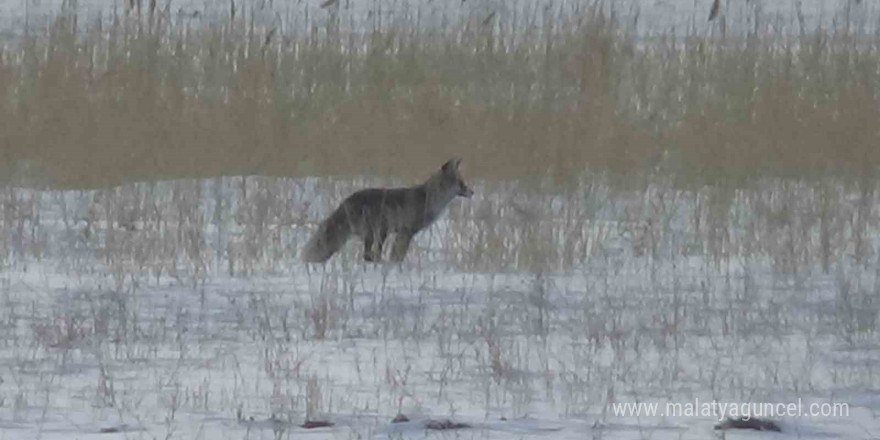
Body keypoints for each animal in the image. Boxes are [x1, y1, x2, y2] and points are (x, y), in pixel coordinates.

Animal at [300, 157, 474, 262]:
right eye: (460, 183)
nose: (472, 192)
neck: (428, 200)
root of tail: (346, 202)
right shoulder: (406, 231)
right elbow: (397, 256)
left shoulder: (401, 233)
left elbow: (396, 255)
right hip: (376, 233)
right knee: (368, 255)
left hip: (377, 234)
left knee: (370, 255)